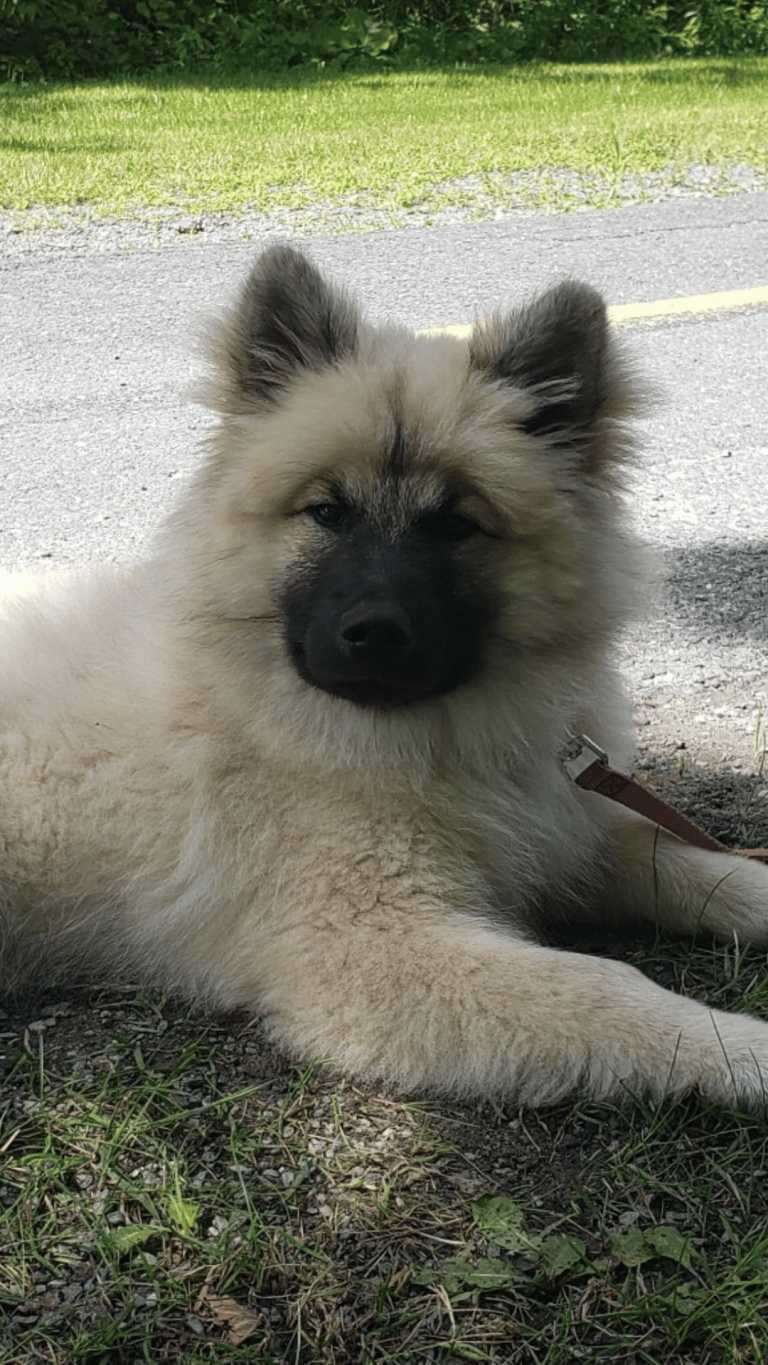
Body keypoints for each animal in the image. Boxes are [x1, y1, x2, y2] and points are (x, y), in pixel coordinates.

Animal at [1, 248, 768, 1108]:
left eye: (455, 523)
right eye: (328, 512)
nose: (373, 631)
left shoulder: (562, 834)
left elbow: (701, 867)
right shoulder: (370, 942)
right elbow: (604, 988)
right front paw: (747, 1049)